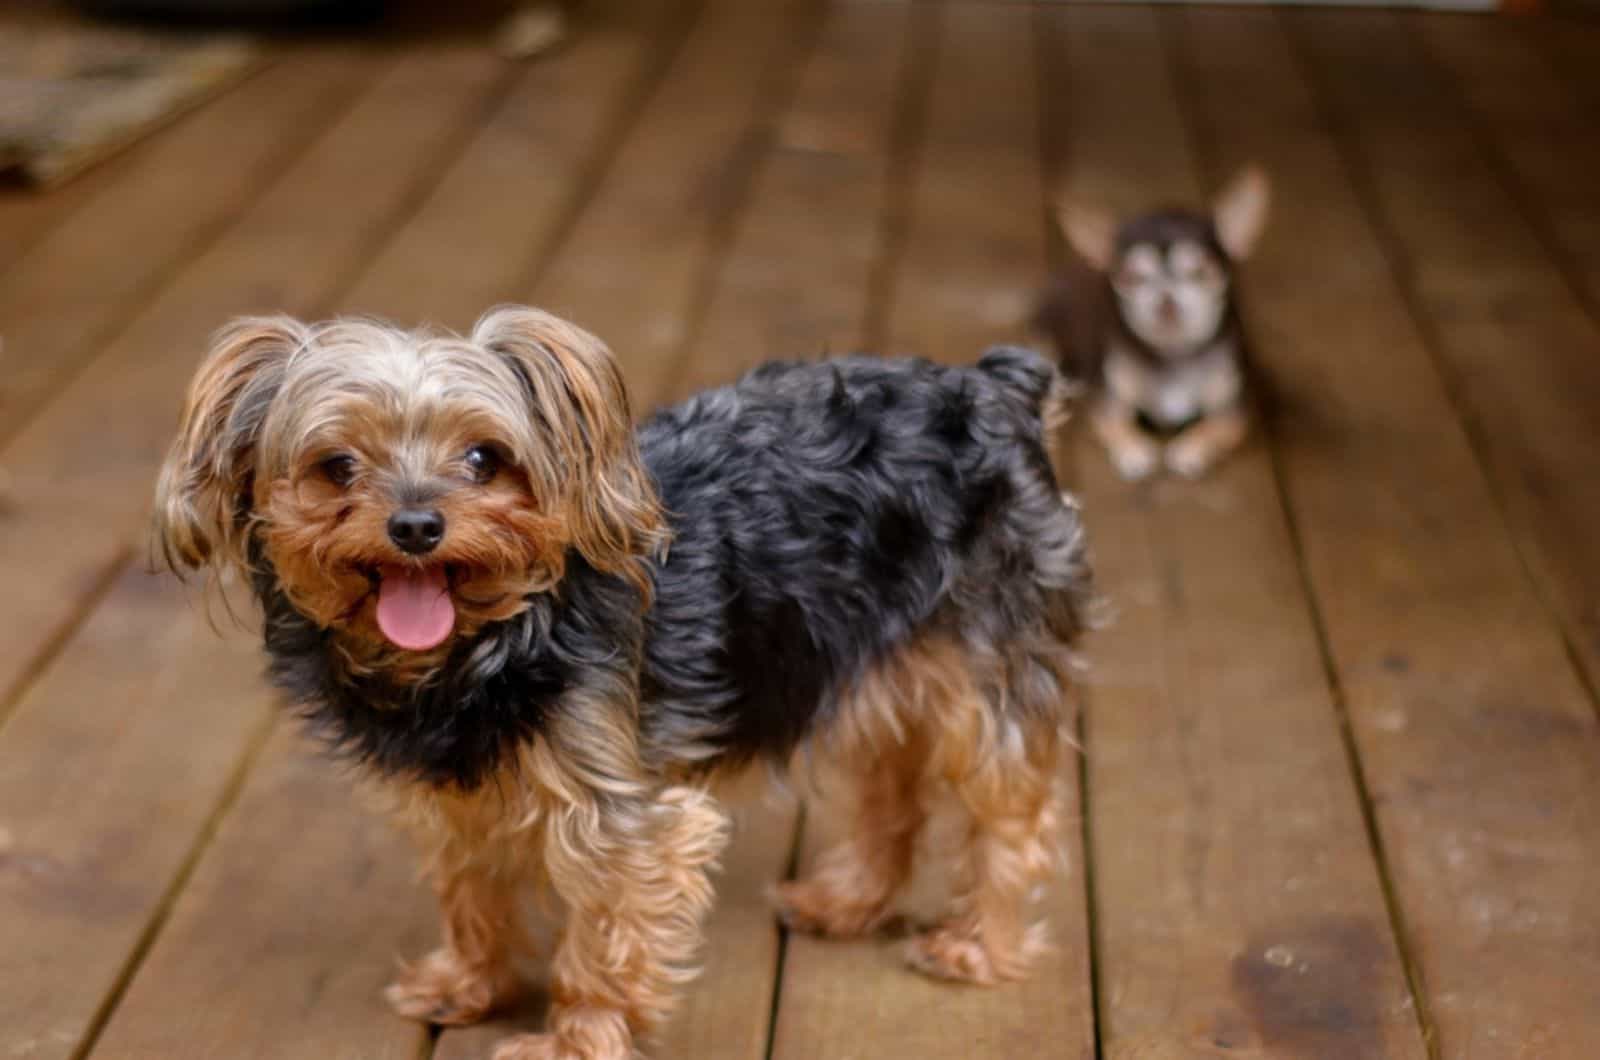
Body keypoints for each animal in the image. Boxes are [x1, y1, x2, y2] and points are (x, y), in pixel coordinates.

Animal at [152, 307, 1100, 1060]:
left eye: (484, 458)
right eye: (336, 466)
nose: (416, 524)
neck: (482, 645)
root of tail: (996, 386)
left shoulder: (617, 815)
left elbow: (603, 933)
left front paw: (574, 1041)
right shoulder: (460, 795)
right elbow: (470, 888)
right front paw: (468, 983)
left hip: (990, 656)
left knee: (1010, 812)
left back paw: (976, 947)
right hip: (868, 657)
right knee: (891, 787)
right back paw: (848, 901)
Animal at [1030, 167, 1267, 480]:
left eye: (1200, 271)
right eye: (1132, 278)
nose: (1166, 301)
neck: (1174, 354)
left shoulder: (1234, 410)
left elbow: (1215, 428)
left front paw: (1191, 449)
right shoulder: (1108, 404)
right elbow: (1117, 425)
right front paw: (1134, 450)